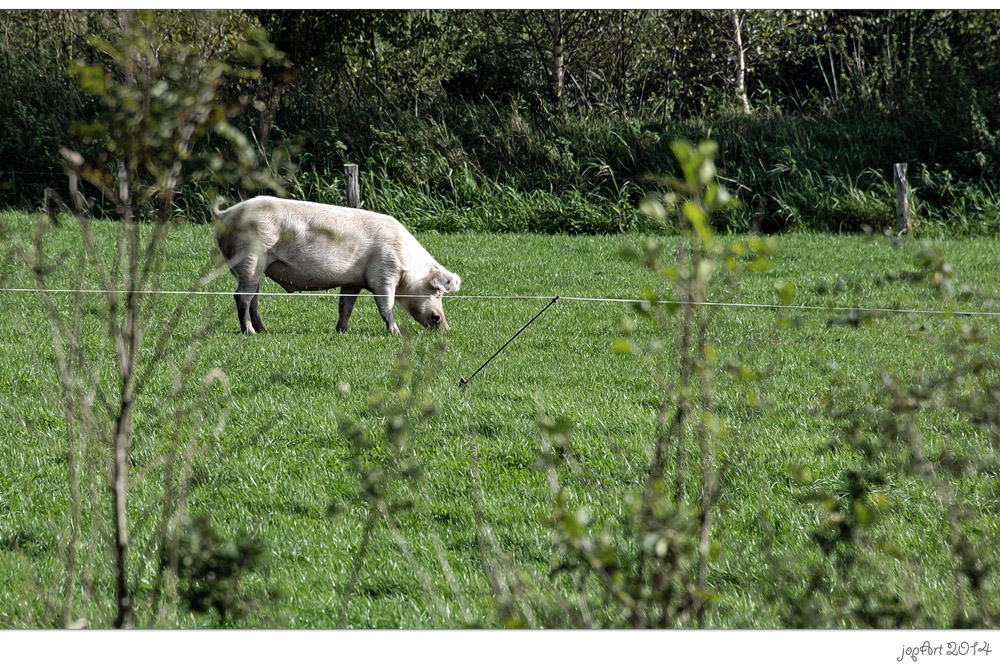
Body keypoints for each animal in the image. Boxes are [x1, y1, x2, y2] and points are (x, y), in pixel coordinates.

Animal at [213, 197, 462, 334]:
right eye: (437, 291)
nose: (446, 327)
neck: (408, 264)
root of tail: (225, 214)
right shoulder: (384, 273)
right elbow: (386, 305)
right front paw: (396, 334)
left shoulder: (353, 281)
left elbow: (345, 306)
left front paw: (342, 331)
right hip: (250, 258)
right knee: (241, 296)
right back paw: (250, 332)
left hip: (255, 266)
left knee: (253, 298)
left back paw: (263, 330)